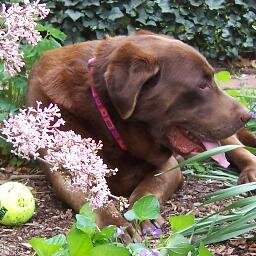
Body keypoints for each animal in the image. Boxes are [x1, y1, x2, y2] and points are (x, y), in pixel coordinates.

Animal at [26, 31, 256, 240]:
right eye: (202, 84)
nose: (247, 115)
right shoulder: (68, 170)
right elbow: (92, 197)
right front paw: (116, 225)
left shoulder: (168, 164)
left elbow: (148, 189)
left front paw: (142, 214)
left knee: (237, 148)